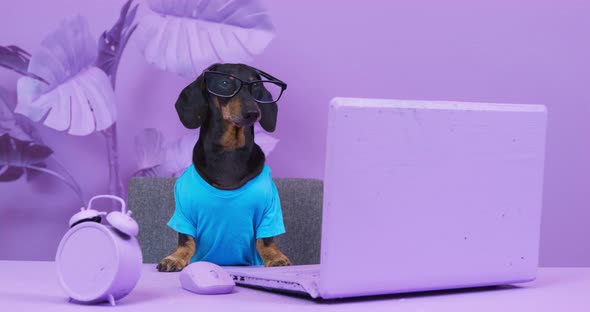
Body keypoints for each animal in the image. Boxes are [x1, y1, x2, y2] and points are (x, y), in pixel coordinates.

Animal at [156, 64, 292, 272]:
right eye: (225, 82)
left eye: (256, 85)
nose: (253, 113)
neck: (229, 152)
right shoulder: (184, 211)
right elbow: (186, 241)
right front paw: (175, 257)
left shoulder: (269, 209)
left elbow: (266, 240)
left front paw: (275, 256)